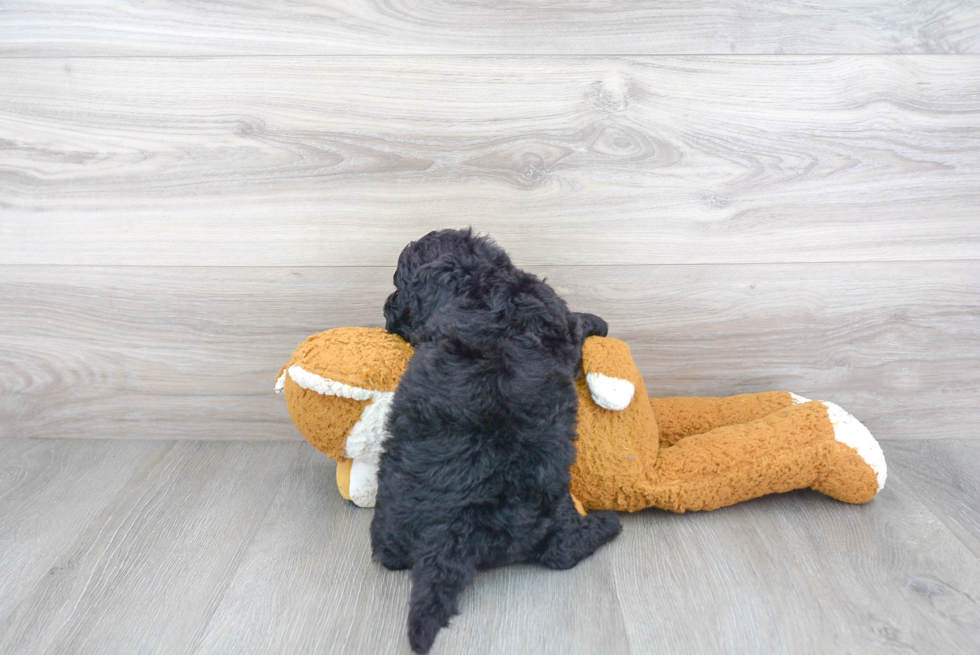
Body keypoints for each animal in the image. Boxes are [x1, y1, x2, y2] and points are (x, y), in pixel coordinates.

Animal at [376, 228, 620, 652]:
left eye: (397, 283)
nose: (385, 310)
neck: (477, 282)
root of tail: (448, 532)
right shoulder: (561, 321)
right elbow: (578, 324)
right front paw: (599, 322)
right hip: (550, 506)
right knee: (561, 553)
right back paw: (607, 525)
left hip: (389, 511)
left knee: (387, 554)